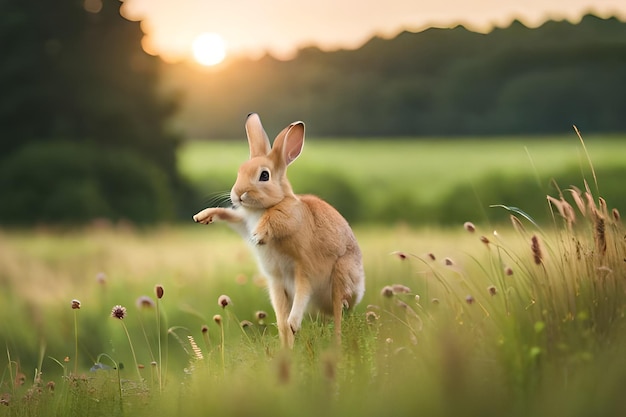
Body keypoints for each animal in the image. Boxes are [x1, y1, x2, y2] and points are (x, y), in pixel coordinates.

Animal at [193, 114, 364, 348]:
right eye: (240, 171)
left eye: (264, 176)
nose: (238, 194)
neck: (266, 207)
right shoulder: (244, 222)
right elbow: (231, 215)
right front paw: (203, 216)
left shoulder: (305, 267)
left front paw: (259, 235)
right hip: (277, 285)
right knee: (284, 320)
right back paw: (287, 346)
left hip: (337, 277)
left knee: (334, 315)